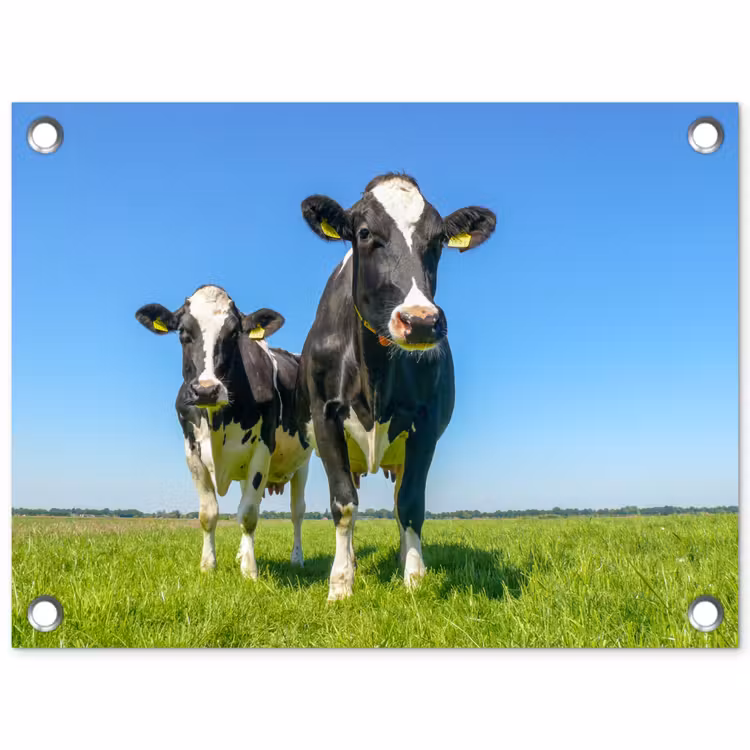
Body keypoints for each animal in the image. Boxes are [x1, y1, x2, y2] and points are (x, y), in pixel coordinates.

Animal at [135, 284, 312, 578]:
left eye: (234, 334)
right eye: (183, 333)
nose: (206, 390)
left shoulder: (263, 448)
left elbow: (250, 513)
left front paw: (250, 571)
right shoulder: (192, 451)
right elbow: (209, 513)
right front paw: (208, 565)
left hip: (304, 462)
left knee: (297, 511)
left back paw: (297, 558)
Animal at [297, 173, 496, 600]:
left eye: (438, 240)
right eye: (365, 233)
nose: (420, 321)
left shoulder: (425, 424)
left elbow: (410, 504)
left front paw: (414, 578)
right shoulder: (325, 417)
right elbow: (344, 504)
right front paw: (340, 583)